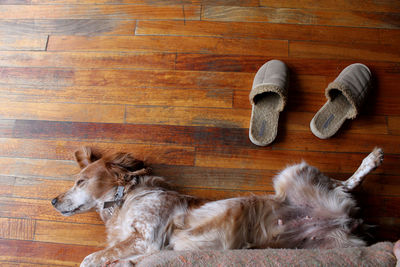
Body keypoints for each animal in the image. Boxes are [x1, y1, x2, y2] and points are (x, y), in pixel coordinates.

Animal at [51, 148, 382, 266]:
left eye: (80, 181)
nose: (52, 200)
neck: (125, 199)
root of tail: (346, 221)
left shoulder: (148, 238)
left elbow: (91, 258)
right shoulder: (141, 245)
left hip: (292, 172)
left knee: (344, 184)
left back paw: (371, 160)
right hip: (334, 247)